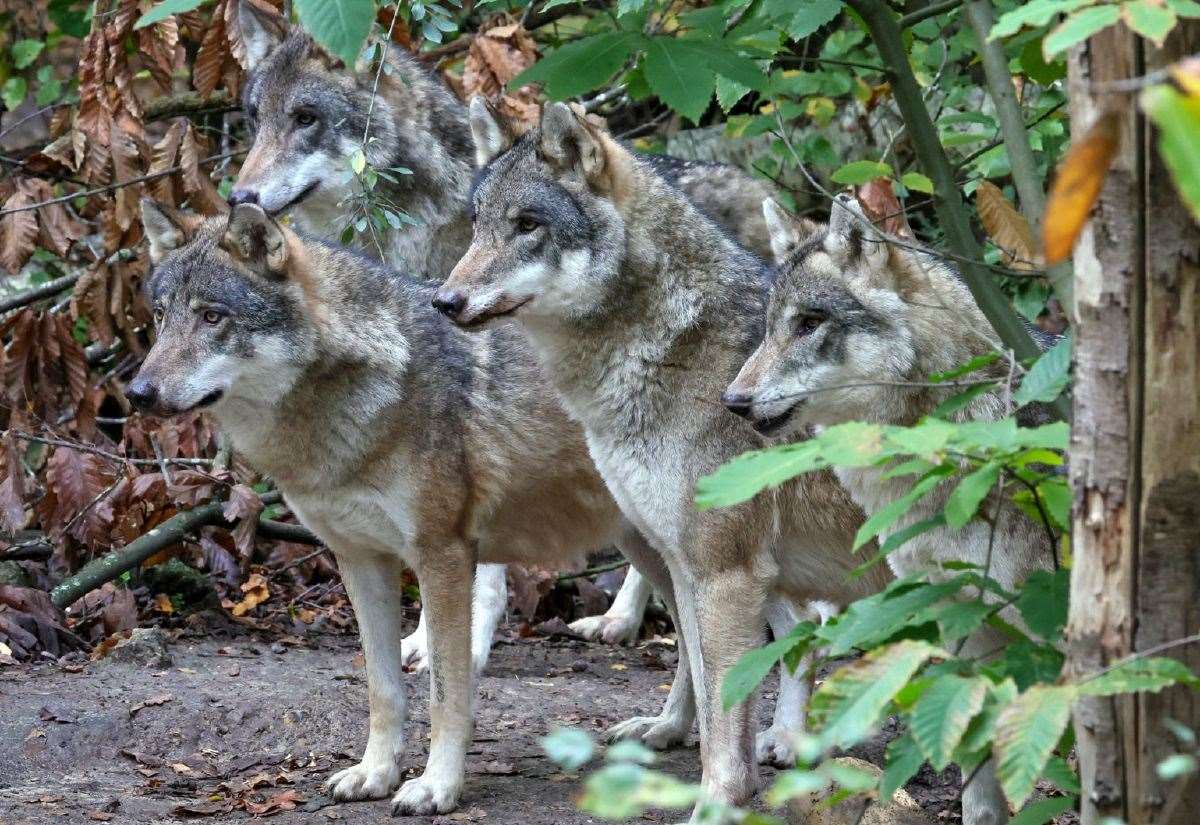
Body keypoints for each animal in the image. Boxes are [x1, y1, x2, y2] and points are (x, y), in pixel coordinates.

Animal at [433, 99, 892, 818]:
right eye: (477, 224)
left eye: (528, 226)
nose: (444, 301)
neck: (669, 347)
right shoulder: (698, 560)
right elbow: (712, 695)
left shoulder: (724, 566)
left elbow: (725, 710)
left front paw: (720, 801)